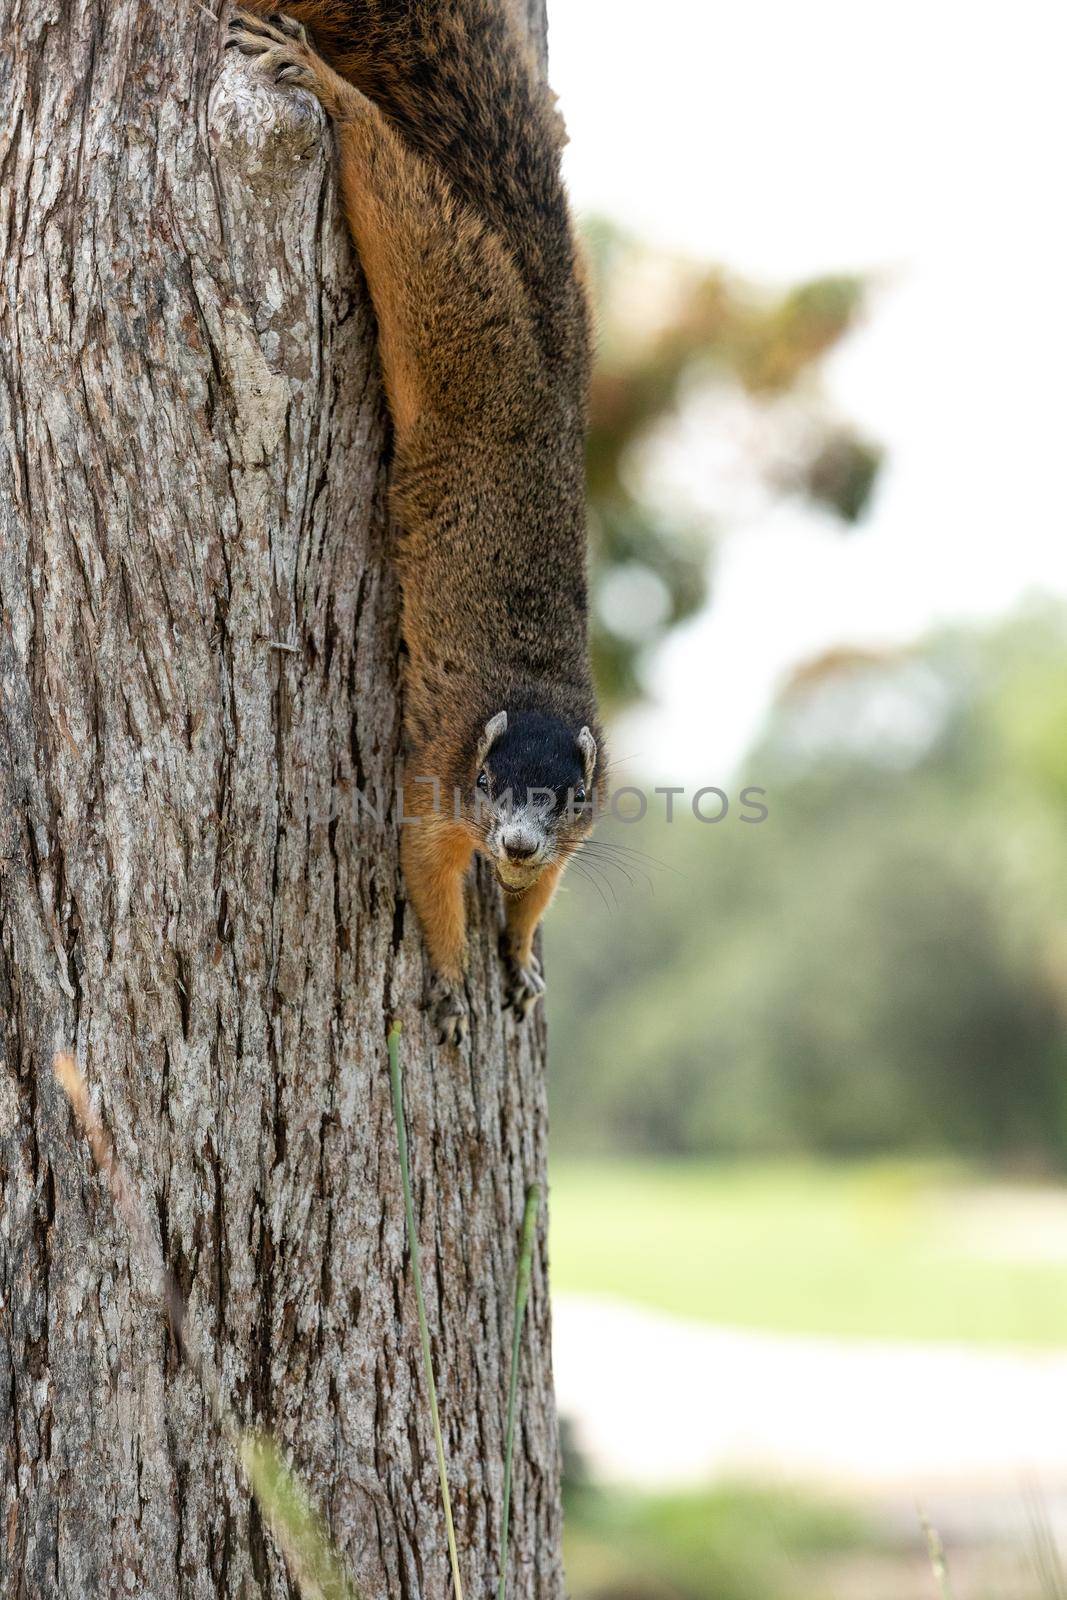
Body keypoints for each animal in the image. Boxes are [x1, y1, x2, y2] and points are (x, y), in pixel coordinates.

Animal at [228, 0, 604, 1043]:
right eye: (487, 783)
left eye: (567, 797)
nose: (512, 842)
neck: (528, 691)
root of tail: (543, 364)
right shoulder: (434, 775)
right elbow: (426, 875)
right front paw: (444, 971)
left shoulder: (575, 838)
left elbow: (539, 894)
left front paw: (517, 955)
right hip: (448, 308)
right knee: (394, 189)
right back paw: (320, 83)